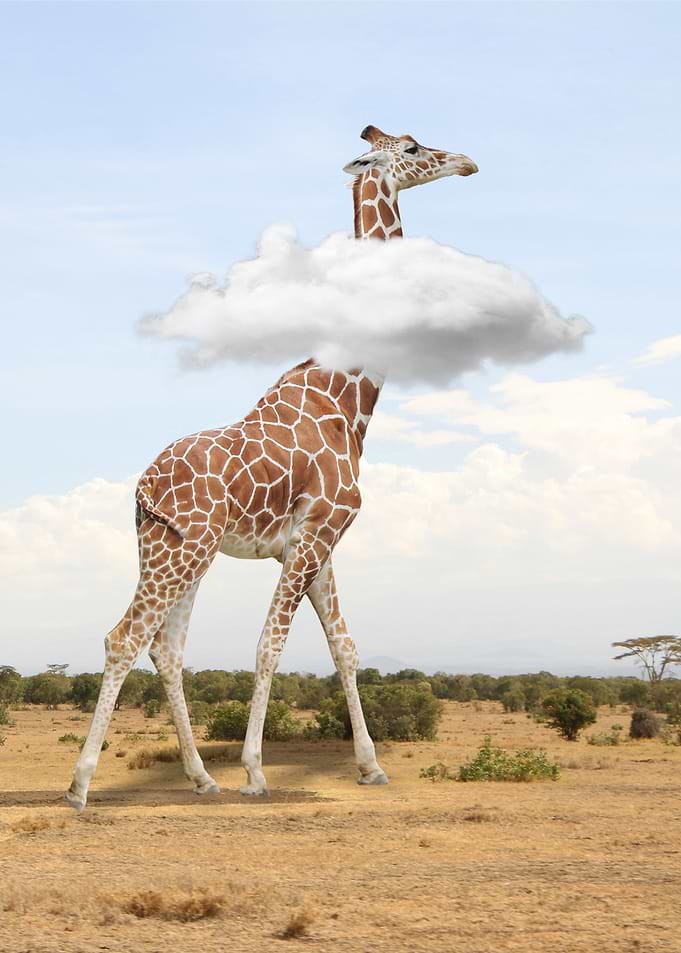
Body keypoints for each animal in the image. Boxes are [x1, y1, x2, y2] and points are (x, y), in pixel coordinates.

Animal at [65, 125, 477, 810]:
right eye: (415, 147)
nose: (467, 162)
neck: (348, 399)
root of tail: (142, 488)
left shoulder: (318, 542)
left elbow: (345, 646)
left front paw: (370, 767)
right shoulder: (314, 537)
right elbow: (270, 646)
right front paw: (256, 771)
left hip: (173, 548)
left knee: (166, 648)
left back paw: (201, 777)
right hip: (185, 549)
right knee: (126, 637)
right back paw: (80, 784)